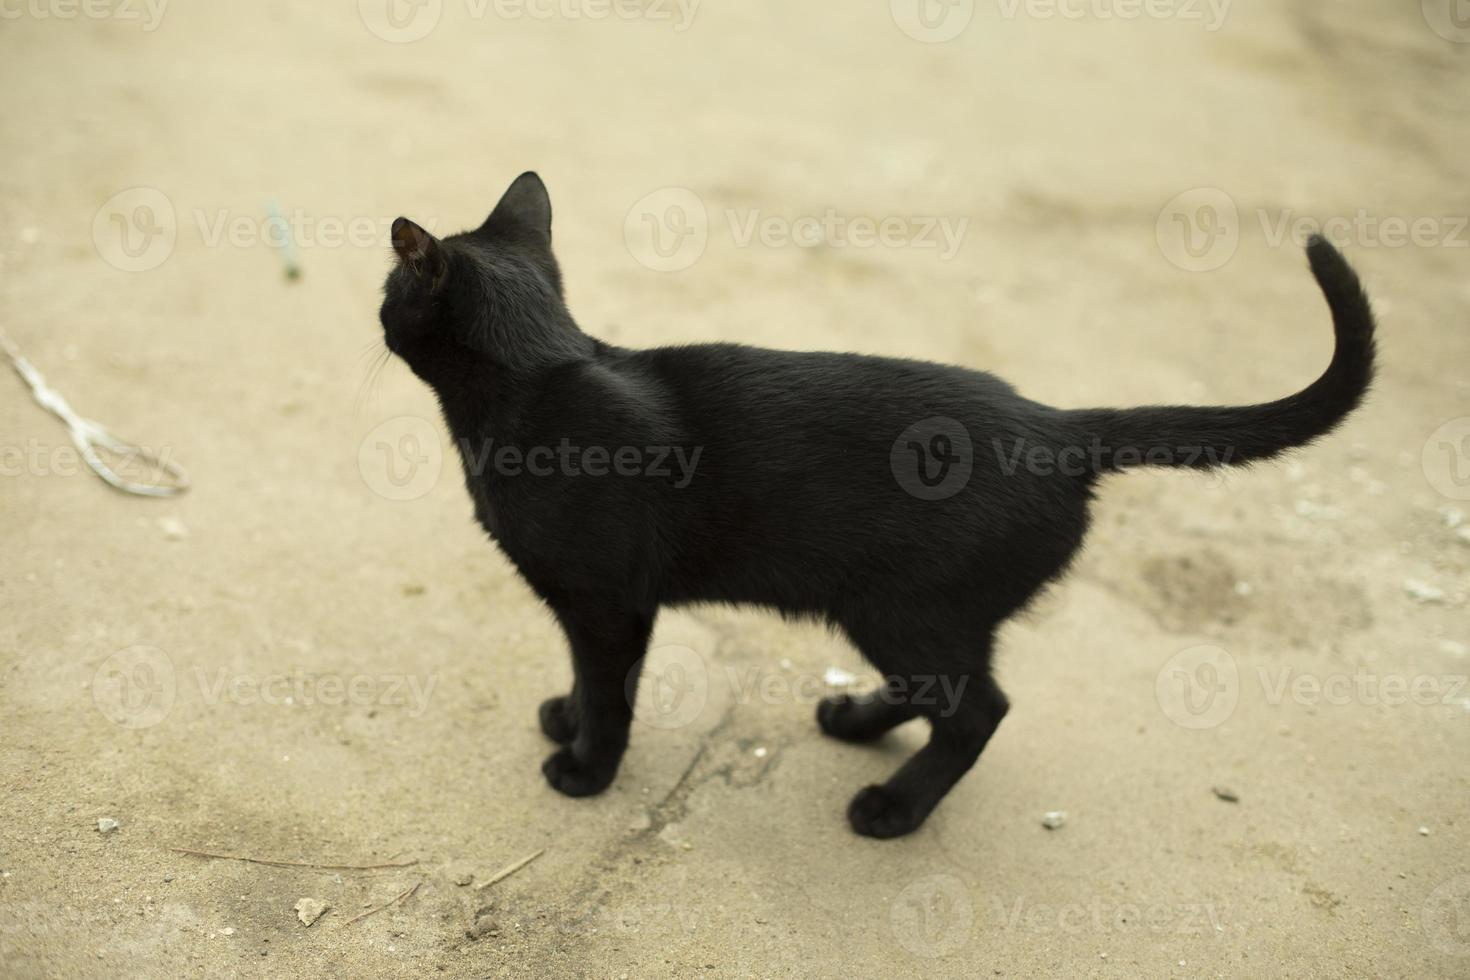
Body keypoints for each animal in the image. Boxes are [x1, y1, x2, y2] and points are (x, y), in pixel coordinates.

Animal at [379, 172, 1375, 840]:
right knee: (949, 691)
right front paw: (566, 715)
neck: (534, 383)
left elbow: (610, 688)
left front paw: (585, 767)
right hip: (906, 610)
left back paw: (892, 808)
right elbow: (588, 680)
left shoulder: (608, 602)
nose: (376, 306)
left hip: (905, 607)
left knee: (979, 711)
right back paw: (854, 723)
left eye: (390, 289)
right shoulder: (592, 606)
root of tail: (1061, 426)